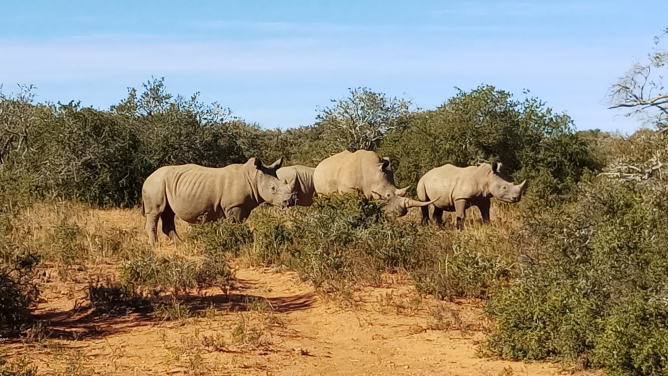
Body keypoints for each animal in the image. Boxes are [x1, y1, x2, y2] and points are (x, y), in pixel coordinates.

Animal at [141, 156, 294, 247]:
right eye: (273, 188)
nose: (288, 201)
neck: (254, 178)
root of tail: (147, 177)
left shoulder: (244, 207)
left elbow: (240, 224)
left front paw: (241, 240)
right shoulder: (234, 206)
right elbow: (235, 224)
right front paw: (236, 242)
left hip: (163, 184)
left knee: (168, 213)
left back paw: (180, 243)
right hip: (155, 184)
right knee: (156, 212)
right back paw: (155, 246)